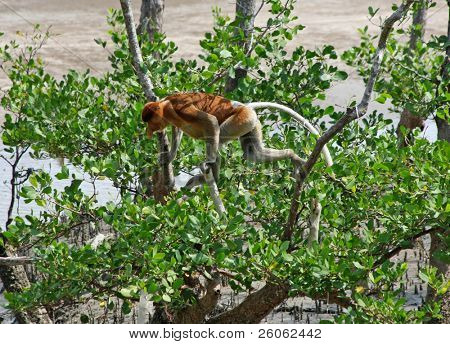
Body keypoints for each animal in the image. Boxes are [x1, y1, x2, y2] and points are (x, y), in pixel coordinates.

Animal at [142, 91, 304, 188]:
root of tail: (246, 107)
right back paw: (292, 155)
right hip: (251, 124)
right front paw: (169, 156)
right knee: (253, 154)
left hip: (239, 121)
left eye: (150, 122)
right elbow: (177, 130)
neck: (165, 106)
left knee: (215, 139)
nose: (149, 131)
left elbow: (210, 121)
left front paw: (209, 161)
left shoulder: (180, 107)